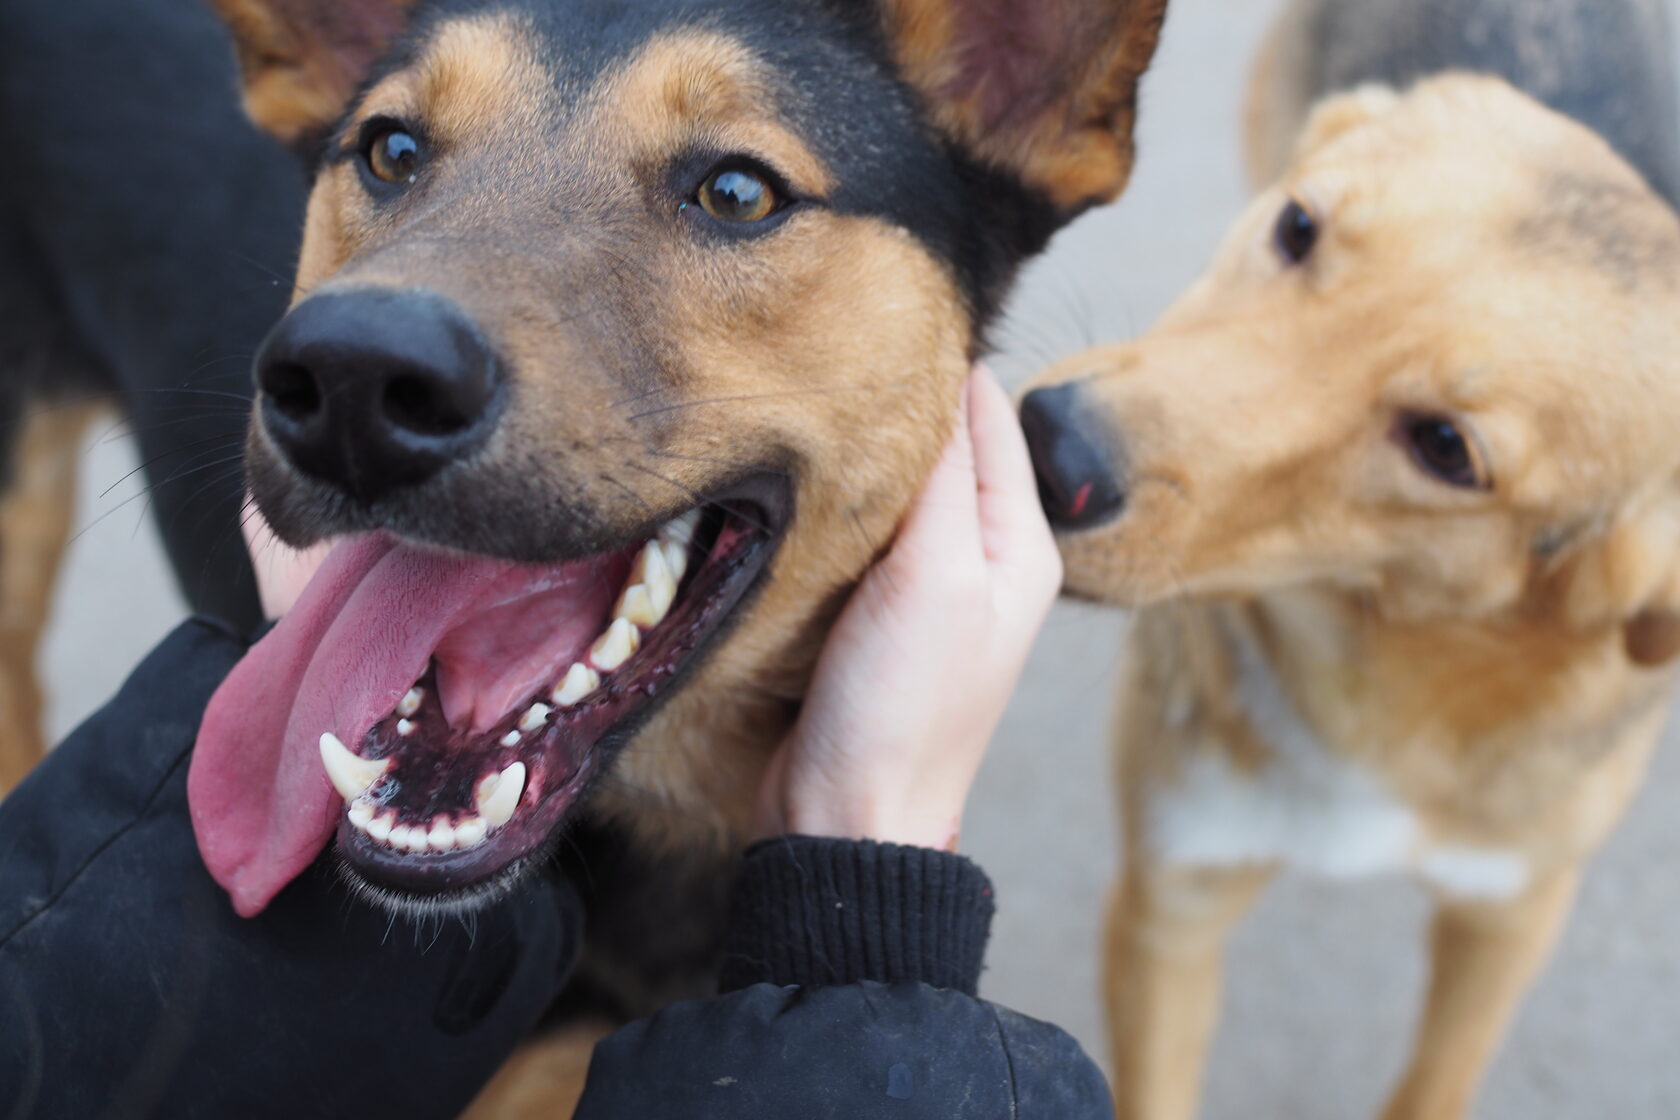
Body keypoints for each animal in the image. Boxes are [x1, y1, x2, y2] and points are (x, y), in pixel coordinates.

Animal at [1014, 2, 1680, 1120]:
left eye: (1447, 447)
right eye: (1297, 229)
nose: (1052, 453)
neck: (1374, 680)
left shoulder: (1513, 913)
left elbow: (1435, 1083)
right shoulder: (1171, 897)